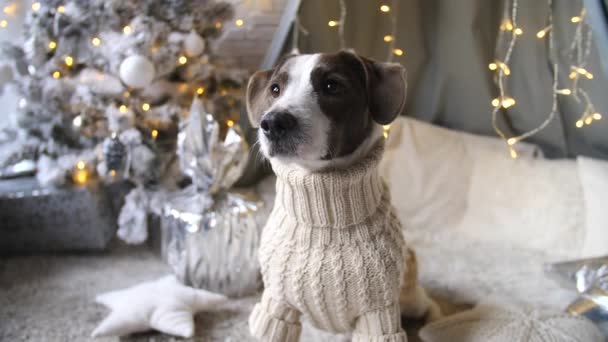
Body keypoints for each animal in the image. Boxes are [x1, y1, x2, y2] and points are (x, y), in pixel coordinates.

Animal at [247, 51, 442, 342]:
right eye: (275, 89)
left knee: (429, 304)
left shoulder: (379, 311)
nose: (272, 122)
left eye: (332, 85)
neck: (324, 219)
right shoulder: (277, 303)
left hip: (410, 299)